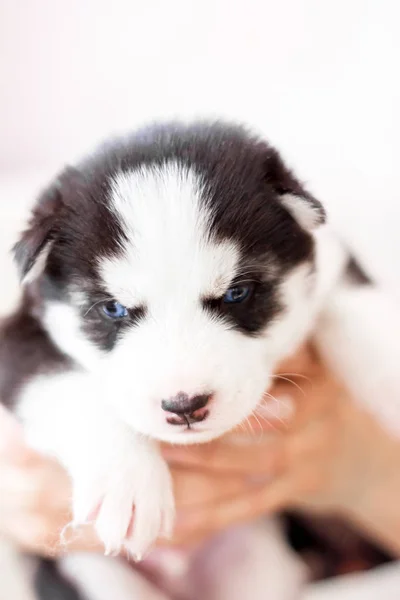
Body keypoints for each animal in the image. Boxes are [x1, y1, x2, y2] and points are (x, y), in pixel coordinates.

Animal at [0, 119, 400, 596]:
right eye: (113, 309)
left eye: (237, 293)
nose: (185, 406)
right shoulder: (15, 338)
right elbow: (67, 387)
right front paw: (127, 481)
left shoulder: (327, 255)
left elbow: (351, 297)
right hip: (93, 576)